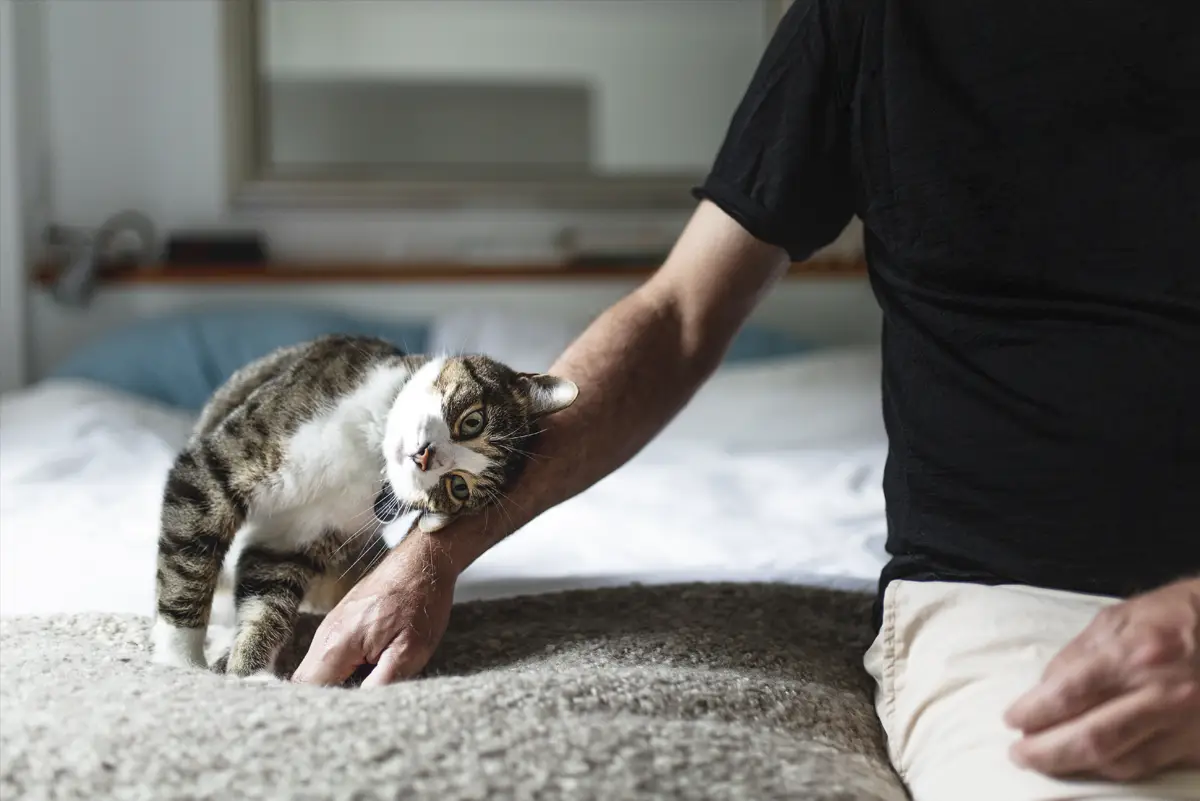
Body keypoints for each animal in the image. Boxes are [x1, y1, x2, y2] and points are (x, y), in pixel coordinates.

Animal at [150, 335, 580, 681]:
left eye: (457, 486)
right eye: (473, 422)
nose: (425, 456)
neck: (372, 453)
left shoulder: (295, 536)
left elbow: (266, 600)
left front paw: (250, 674)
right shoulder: (219, 466)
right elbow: (188, 563)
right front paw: (181, 664)